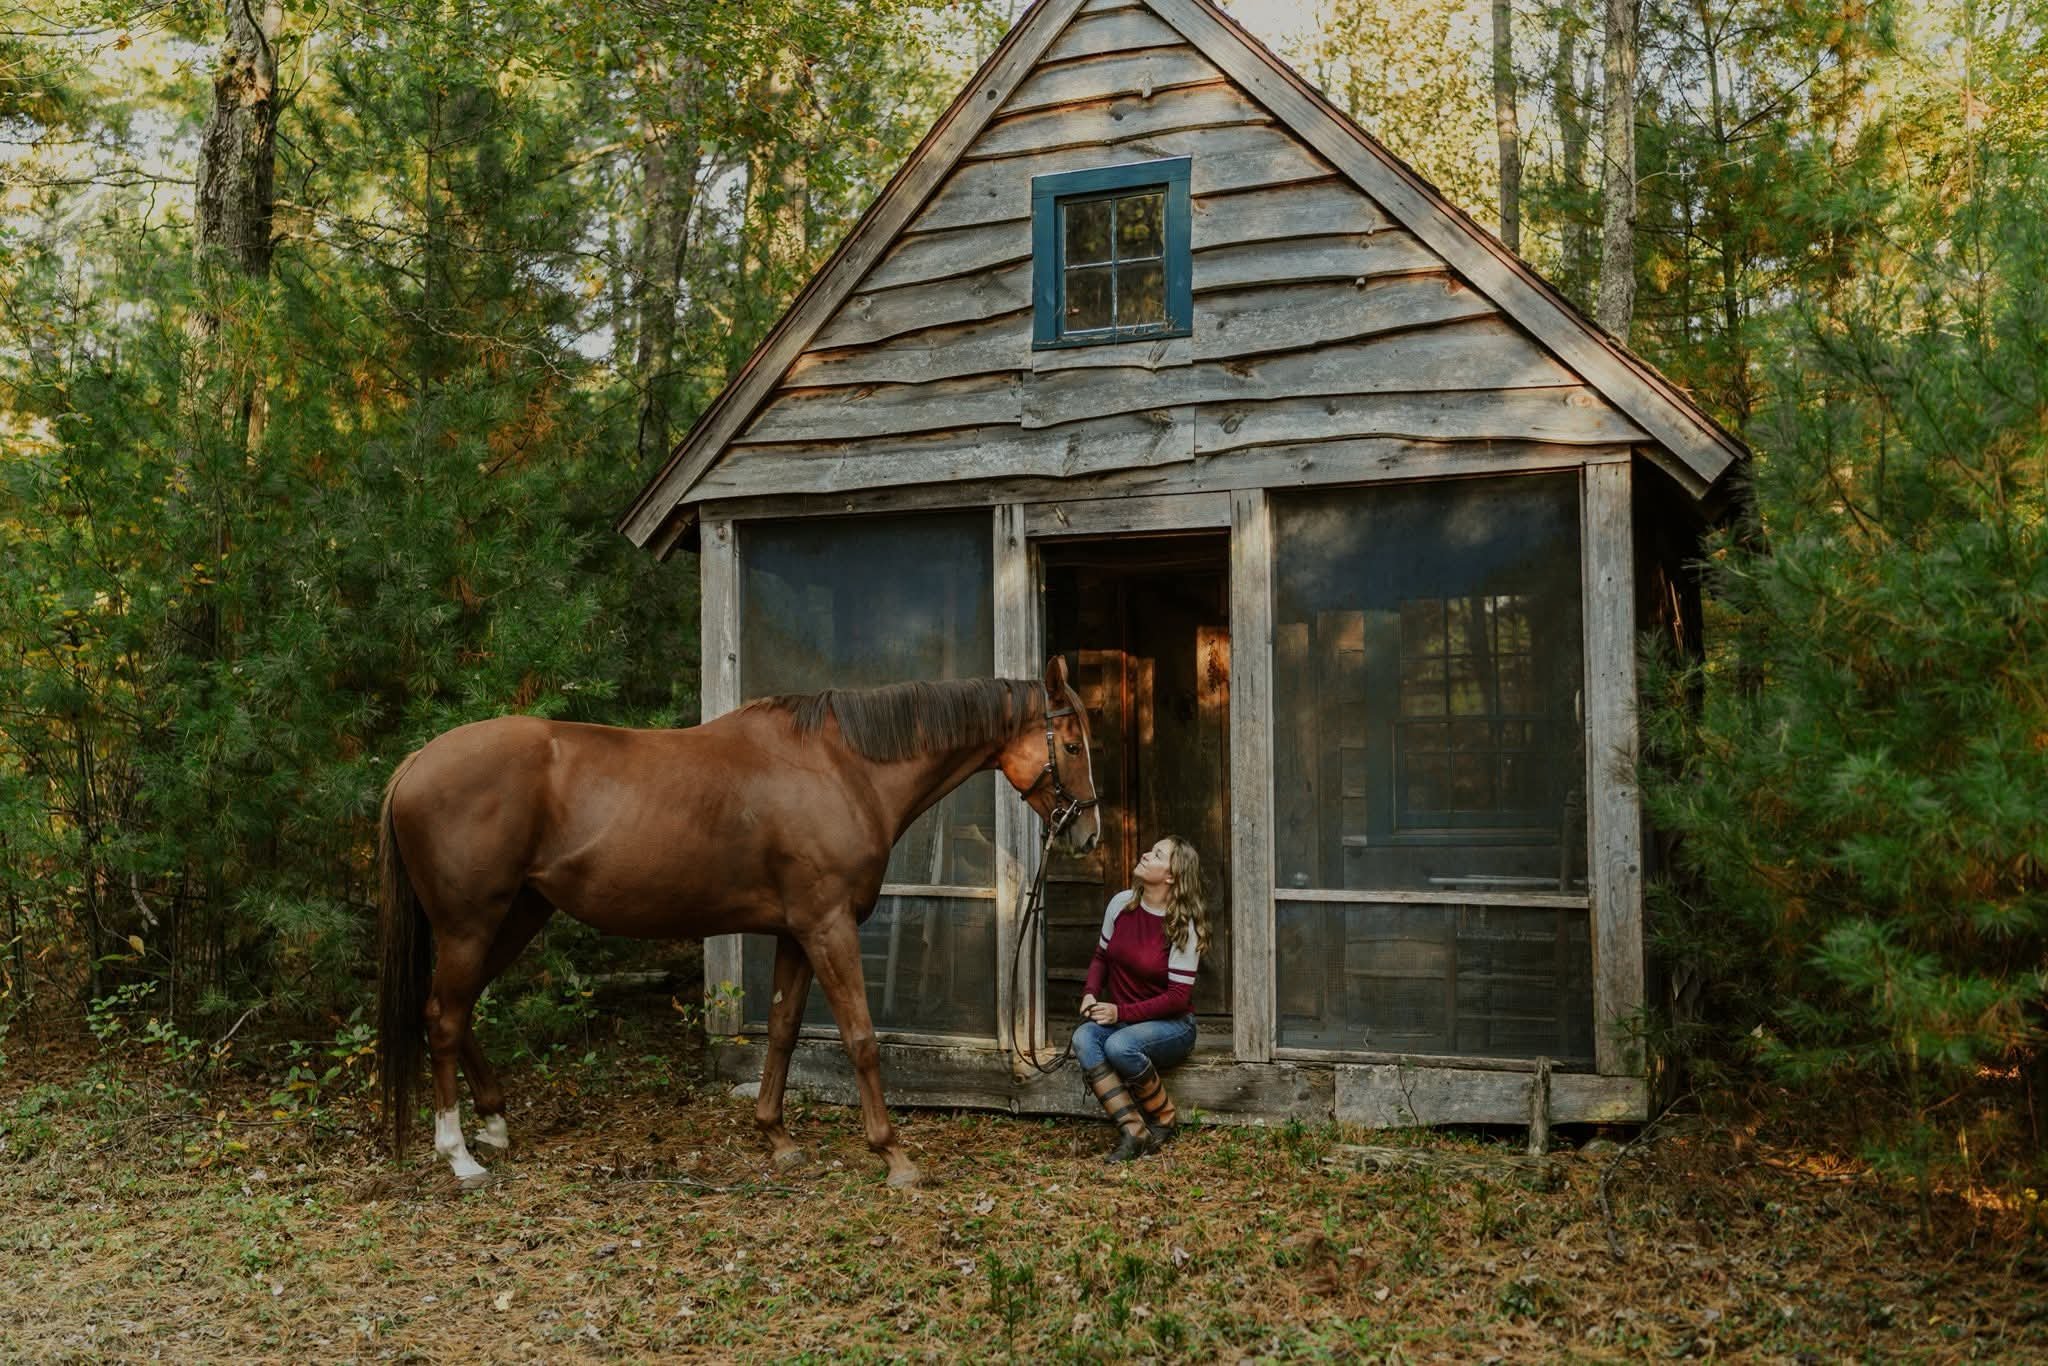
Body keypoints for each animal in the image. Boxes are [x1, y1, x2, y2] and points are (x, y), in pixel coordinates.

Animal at [375, 656, 1100, 1188]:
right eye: (1070, 743)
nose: (1087, 832)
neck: (842, 767)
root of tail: (413, 764)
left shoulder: (795, 932)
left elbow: (781, 1031)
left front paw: (776, 1137)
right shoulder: (829, 926)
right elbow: (861, 1038)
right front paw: (893, 1156)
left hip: (516, 916)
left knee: (457, 1009)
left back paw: (494, 1125)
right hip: (471, 925)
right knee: (443, 1016)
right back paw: (459, 1155)